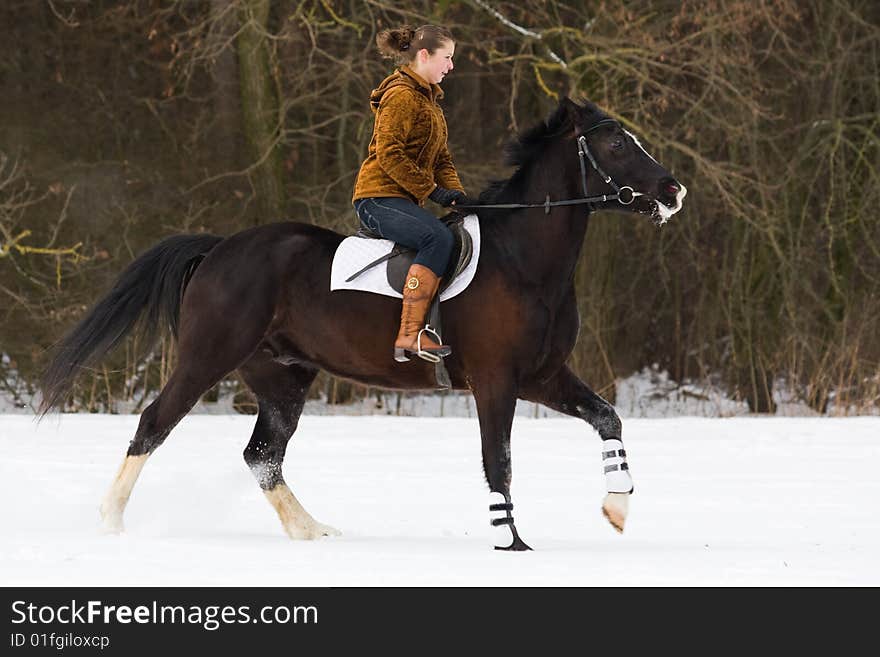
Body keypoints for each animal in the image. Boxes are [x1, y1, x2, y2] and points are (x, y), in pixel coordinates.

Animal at [39, 97, 688, 548]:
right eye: (615, 146)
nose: (673, 190)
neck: (524, 261)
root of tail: (220, 248)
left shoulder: (543, 378)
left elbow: (607, 417)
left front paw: (617, 509)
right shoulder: (496, 381)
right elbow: (497, 459)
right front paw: (513, 542)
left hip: (282, 377)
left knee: (262, 455)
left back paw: (312, 531)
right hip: (208, 356)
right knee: (155, 422)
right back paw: (111, 521)